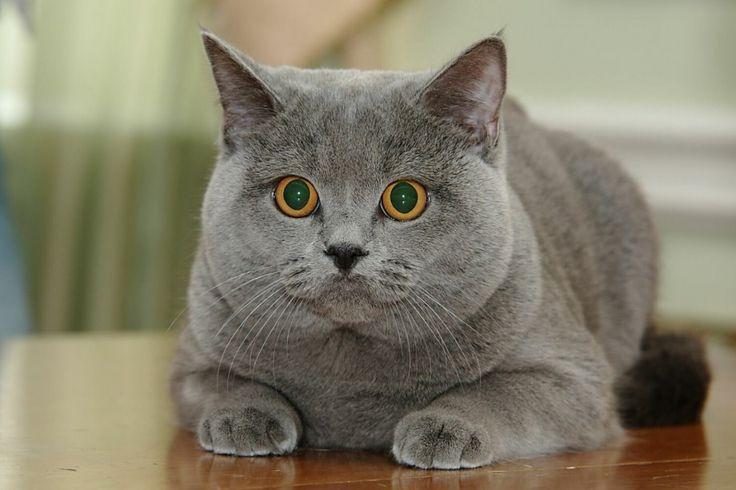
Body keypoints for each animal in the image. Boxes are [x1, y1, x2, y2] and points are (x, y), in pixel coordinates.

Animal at [170, 30, 712, 470]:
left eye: (404, 199)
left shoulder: (575, 378)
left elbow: (498, 392)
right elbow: (220, 382)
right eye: (296, 195)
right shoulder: (192, 357)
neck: (349, 371)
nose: (345, 249)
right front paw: (243, 415)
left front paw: (444, 426)